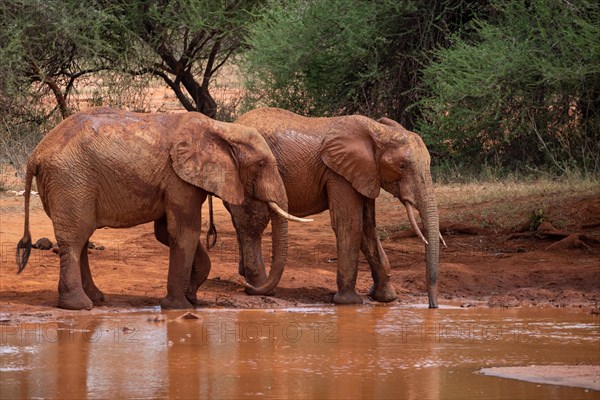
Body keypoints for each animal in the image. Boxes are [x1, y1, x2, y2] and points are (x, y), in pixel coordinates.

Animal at [15, 106, 308, 310]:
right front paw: (179, 307)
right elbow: (185, 232)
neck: (221, 128)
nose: (246, 282)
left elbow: (167, 232)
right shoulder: (179, 178)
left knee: (81, 239)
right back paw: (79, 306)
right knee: (74, 239)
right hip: (70, 180)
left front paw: (192, 298)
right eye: (261, 164)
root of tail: (35, 154)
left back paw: (97, 299)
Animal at [225, 108, 440, 308]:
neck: (378, 131)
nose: (433, 306)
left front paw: (386, 297)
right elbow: (349, 223)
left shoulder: (365, 173)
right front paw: (349, 302)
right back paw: (257, 286)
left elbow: (367, 227)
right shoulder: (338, 174)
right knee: (253, 222)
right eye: (402, 166)